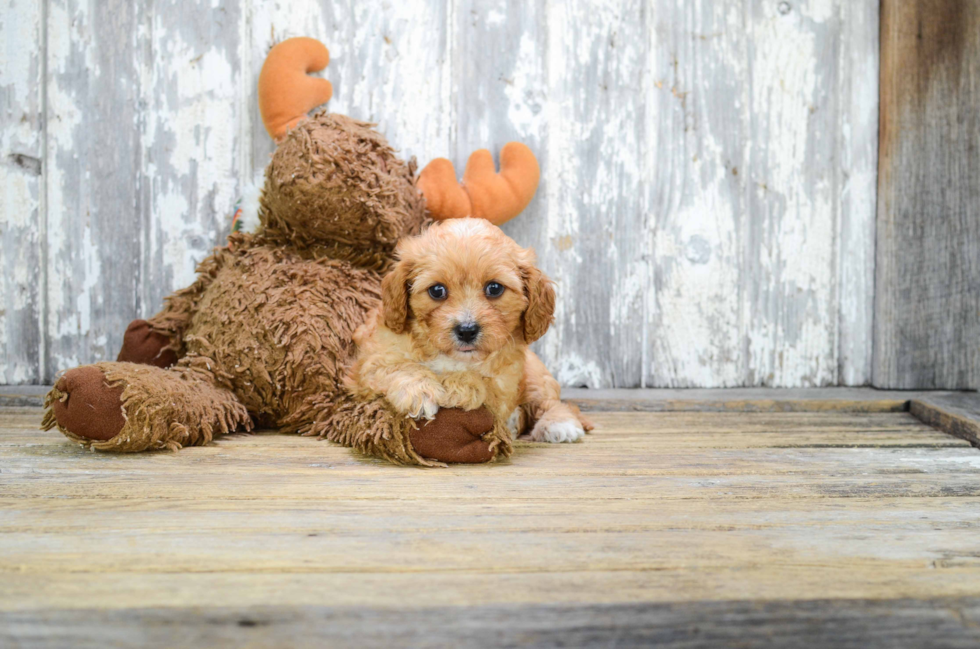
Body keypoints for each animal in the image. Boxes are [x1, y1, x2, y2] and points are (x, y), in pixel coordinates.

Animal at [348, 215, 592, 454]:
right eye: (437, 290)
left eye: (494, 288)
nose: (466, 330)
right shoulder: (370, 364)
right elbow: (398, 367)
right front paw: (421, 392)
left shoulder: (505, 383)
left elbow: (480, 381)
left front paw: (451, 387)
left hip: (535, 375)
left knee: (550, 402)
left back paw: (559, 424)